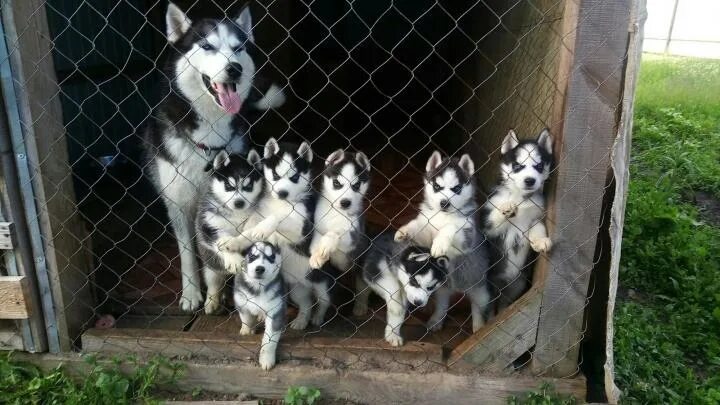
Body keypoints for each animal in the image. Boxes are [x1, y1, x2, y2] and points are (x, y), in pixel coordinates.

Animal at [195, 148, 262, 312]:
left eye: (248, 186)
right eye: (228, 185)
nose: (239, 203)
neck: (236, 213)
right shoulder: (208, 223)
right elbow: (220, 240)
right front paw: (233, 259)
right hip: (211, 265)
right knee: (214, 282)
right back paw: (212, 302)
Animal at [233, 240, 284, 370]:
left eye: (271, 257)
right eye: (252, 256)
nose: (260, 269)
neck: (258, 287)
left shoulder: (275, 311)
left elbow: (269, 341)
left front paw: (266, 359)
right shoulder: (241, 301)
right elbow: (246, 318)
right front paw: (247, 330)